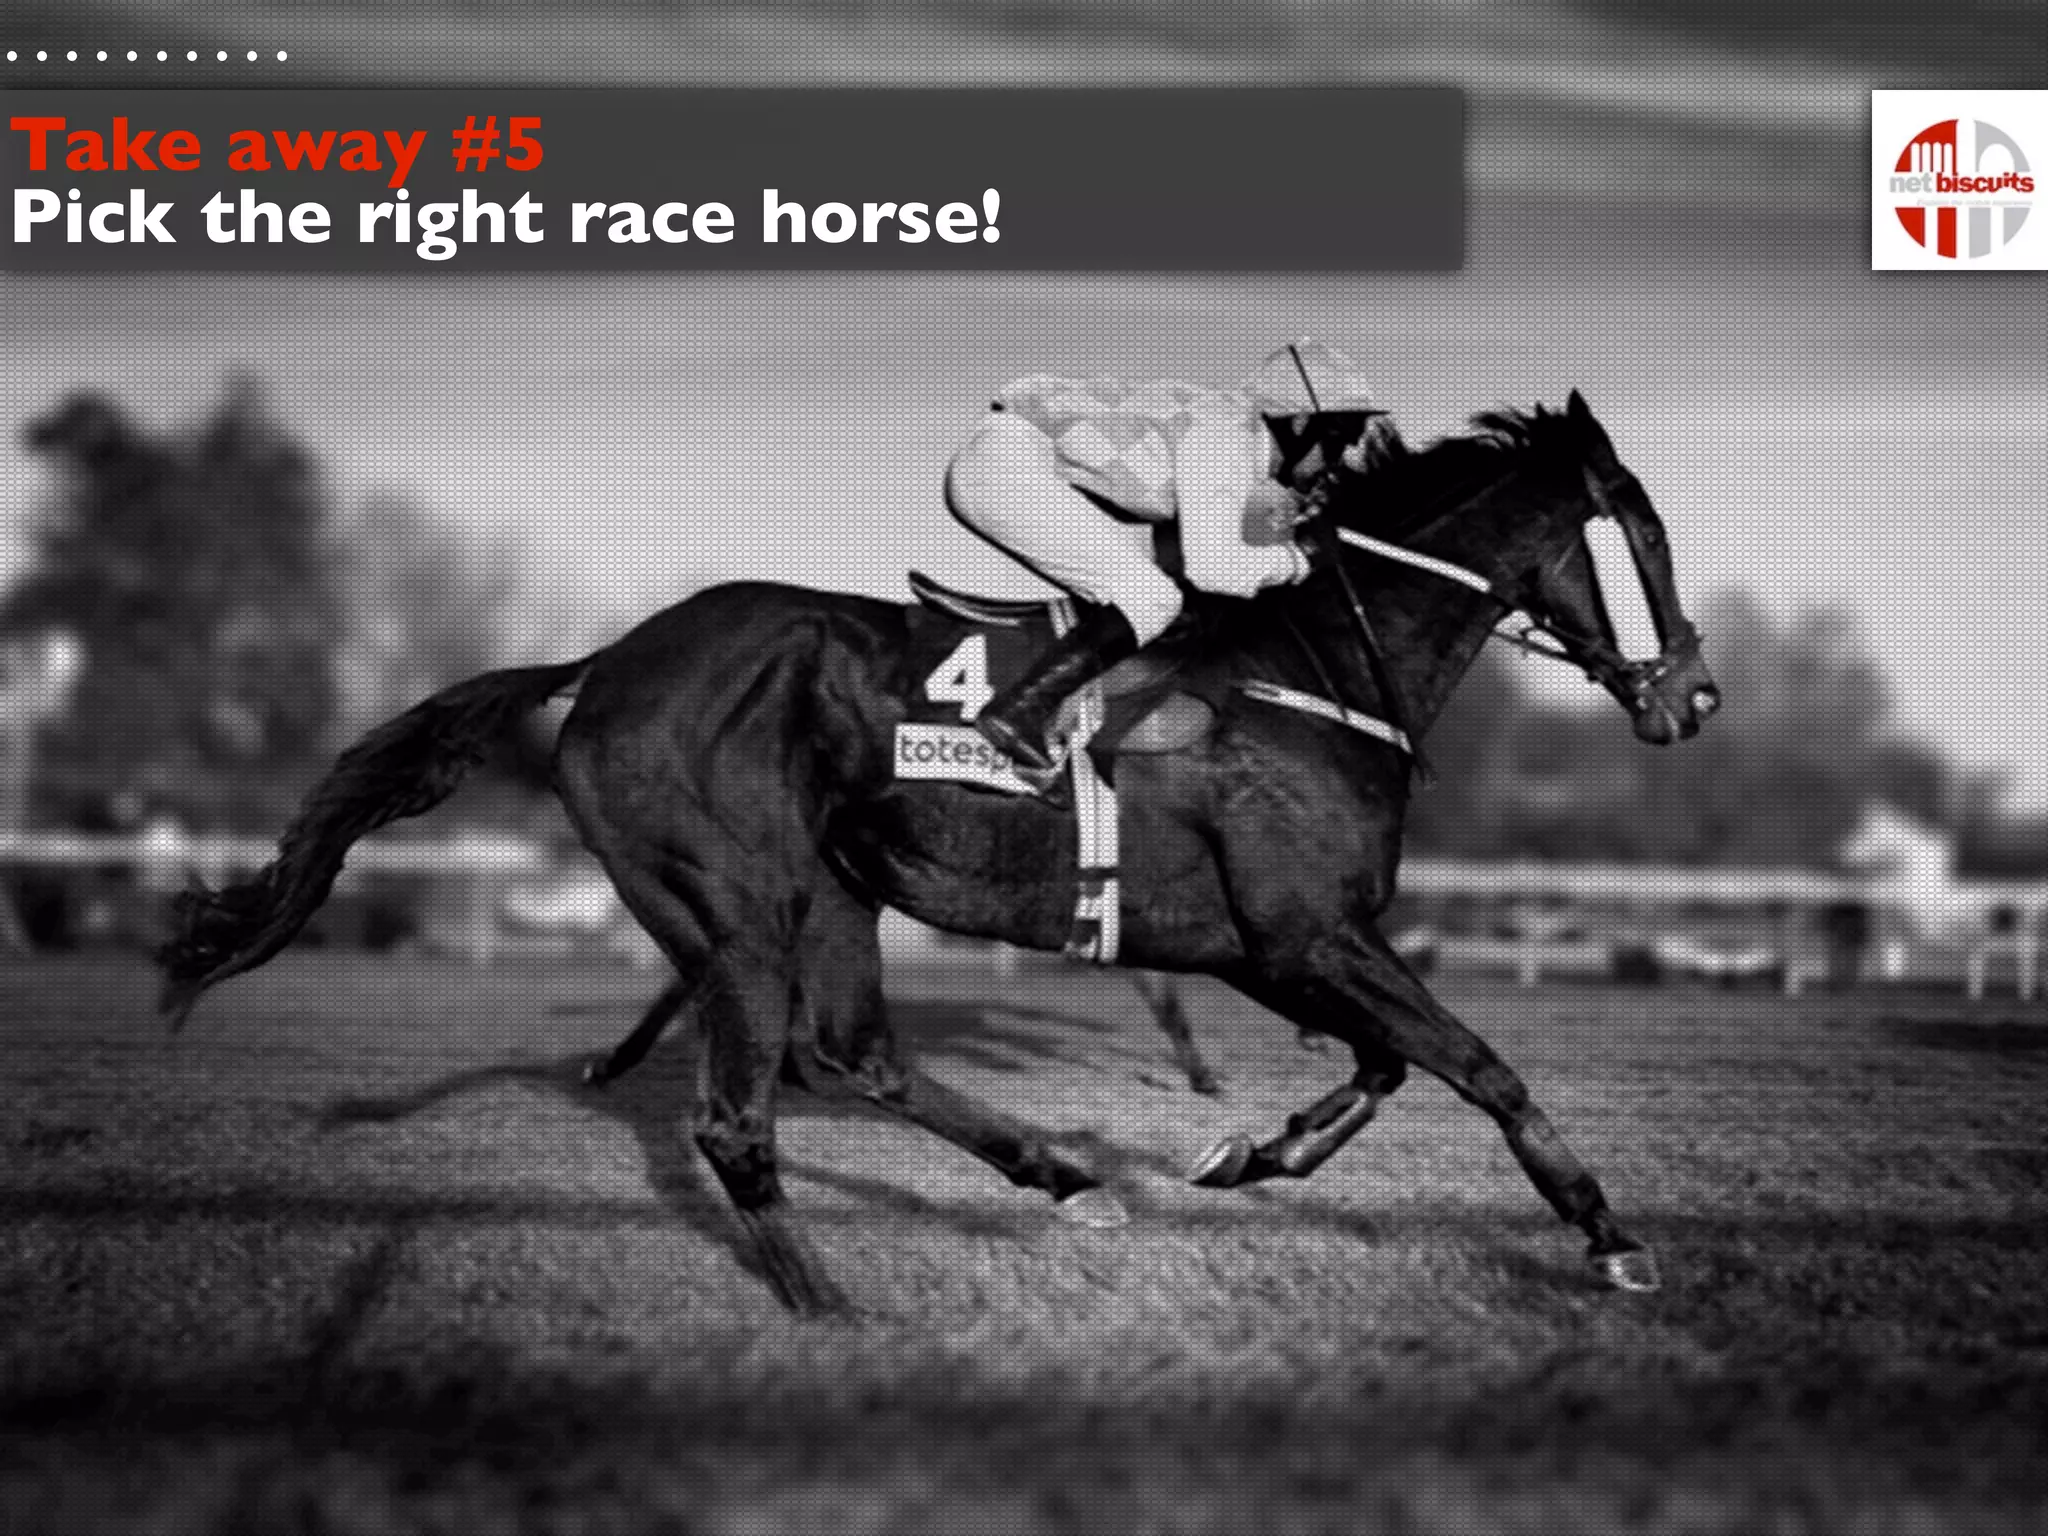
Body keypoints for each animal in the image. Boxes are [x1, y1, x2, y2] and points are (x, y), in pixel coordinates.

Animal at [156, 390, 1719, 1316]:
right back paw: (830, 1311)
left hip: (833, 896)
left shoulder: (1261, 944)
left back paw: (1064, 1182)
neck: (1314, 662)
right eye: (1641, 538)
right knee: (740, 1116)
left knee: (856, 1057)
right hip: (738, 905)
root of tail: (606, 661)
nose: (1694, 697)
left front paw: (1244, 1154)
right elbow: (1480, 1066)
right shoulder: (1304, 933)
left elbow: (1389, 1067)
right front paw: (1605, 1232)